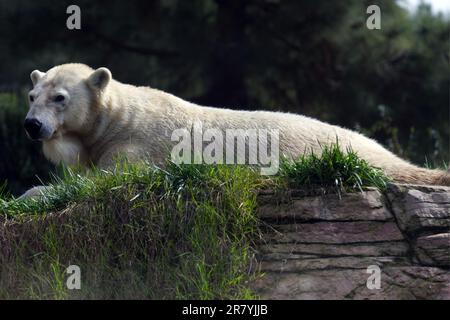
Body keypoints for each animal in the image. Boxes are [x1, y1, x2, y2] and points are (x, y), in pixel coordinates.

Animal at [22, 63, 450, 196]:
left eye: (59, 97)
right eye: (31, 95)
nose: (32, 124)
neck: (117, 117)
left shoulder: (138, 147)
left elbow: (105, 181)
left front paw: (29, 193)